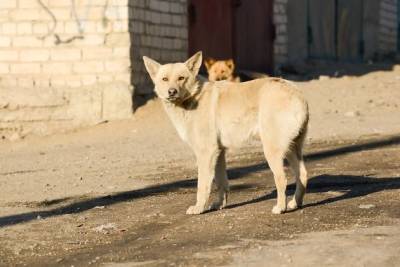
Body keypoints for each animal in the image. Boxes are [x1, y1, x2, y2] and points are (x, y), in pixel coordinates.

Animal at [144, 52, 310, 216]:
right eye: (164, 79)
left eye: (181, 78)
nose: (172, 92)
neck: (193, 97)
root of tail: (298, 94)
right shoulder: (219, 153)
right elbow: (221, 182)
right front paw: (219, 205)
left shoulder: (206, 153)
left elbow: (202, 185)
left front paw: (199, 208)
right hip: (291, 149)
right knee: (302, 175)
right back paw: (295, 203)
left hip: (272, 150)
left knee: (282, 179)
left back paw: (280, 208)